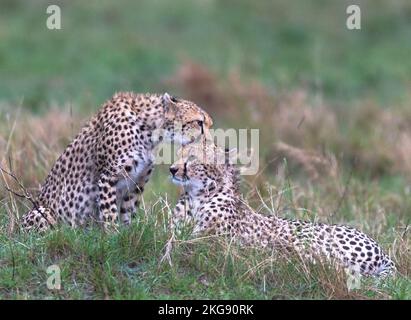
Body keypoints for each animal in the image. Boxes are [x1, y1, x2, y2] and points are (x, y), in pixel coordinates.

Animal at [21, 91, 216, 231]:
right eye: (199, 122)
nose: (209, 140)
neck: (149, 130)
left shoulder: (136, 183)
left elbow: (127, 213)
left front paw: (127, 236)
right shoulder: (108, 178)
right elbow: (109, 214)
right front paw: (112, 237)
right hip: (41, 212)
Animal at [169, 142, 398, 278]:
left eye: (193, 158)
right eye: (178, 153)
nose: (172, 169)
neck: (197, 196)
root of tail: (379, 248)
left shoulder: (208, 239)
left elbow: (185, 241)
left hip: (305, 241)